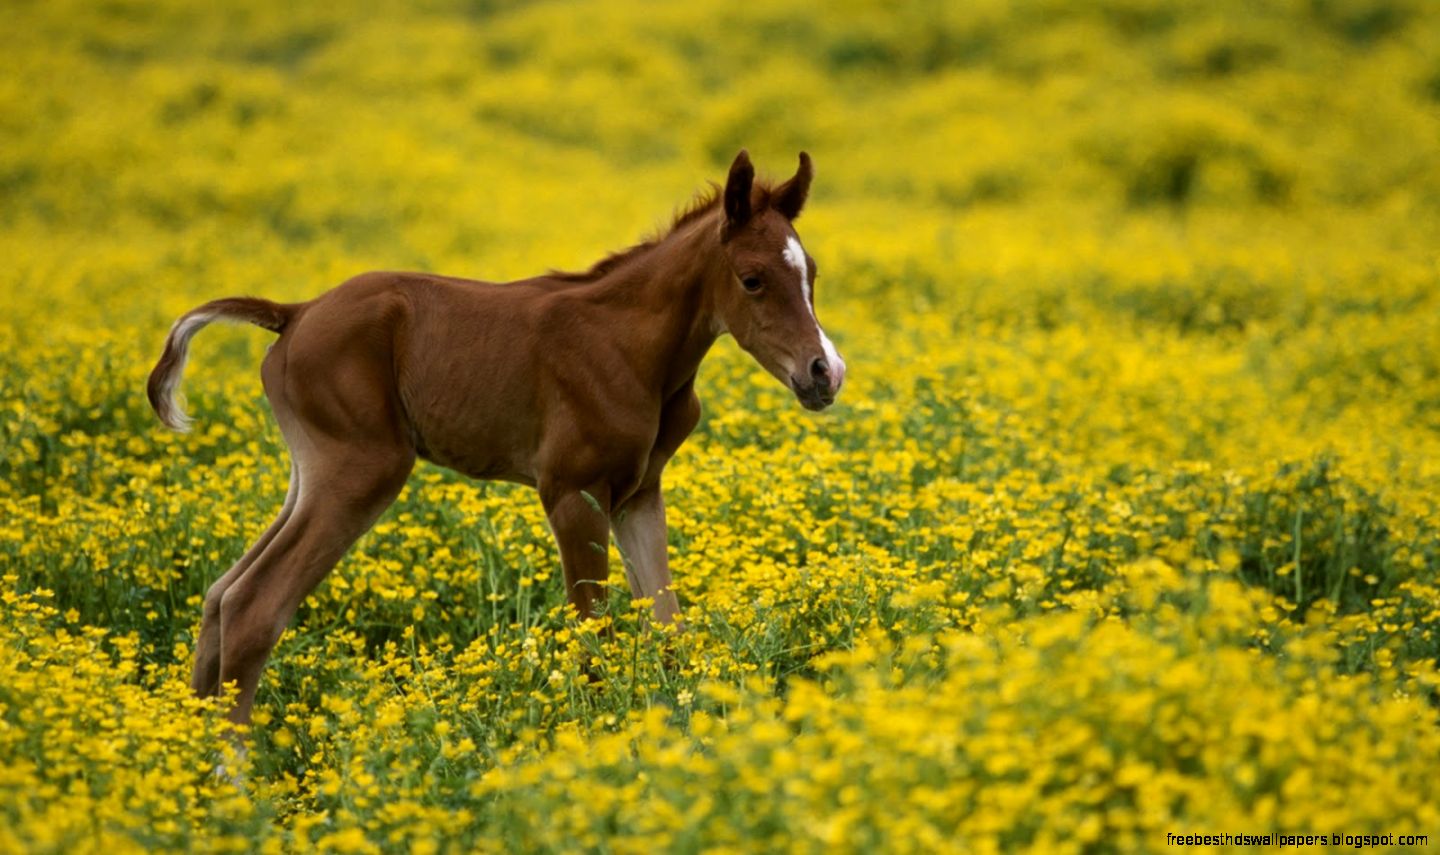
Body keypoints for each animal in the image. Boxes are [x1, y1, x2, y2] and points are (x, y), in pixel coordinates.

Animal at [147, 150, 846, 725]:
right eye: (753, 278)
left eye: (810, 272)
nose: (825, 373)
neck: (630, 346)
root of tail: (293, 315)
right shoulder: (571, 493)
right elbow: (592, 632)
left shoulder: (638, 494)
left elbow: (667, 624)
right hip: (361, 471)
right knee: (254, 605)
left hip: (310, 476)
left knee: (220, 594)